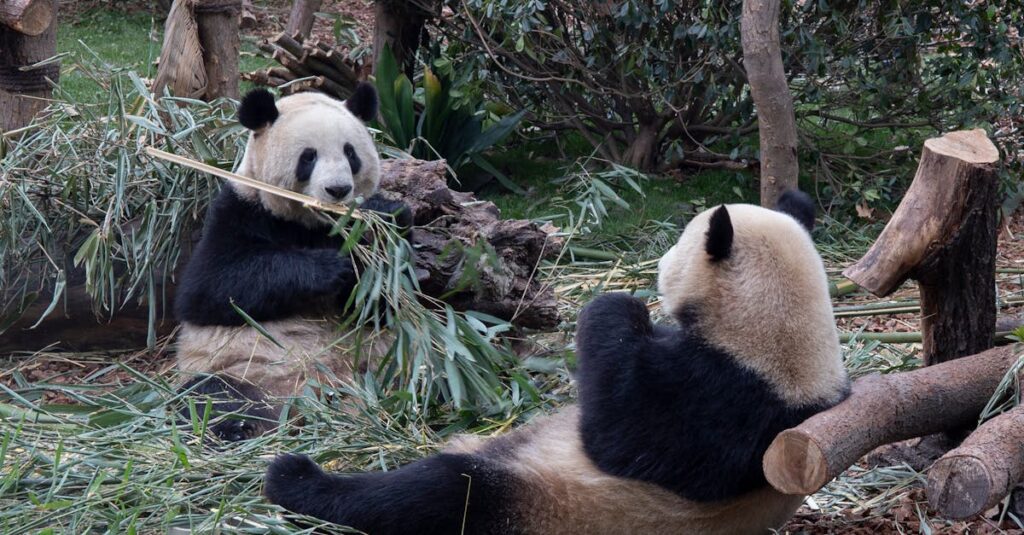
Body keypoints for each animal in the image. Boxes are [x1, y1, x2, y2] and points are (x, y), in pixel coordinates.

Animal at [174, 84, 411, 442]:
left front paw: (385, 219)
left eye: (350, 154)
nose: (338, 189)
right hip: (241, 370)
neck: (317, 224)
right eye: (308, 157)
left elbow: (381, 305)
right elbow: (210, 287)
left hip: (385, 367)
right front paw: (331, 268)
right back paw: (238, 429)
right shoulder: (241, 210)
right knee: (212, 397)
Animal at [261, 190, 850, 535]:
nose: (659, 262)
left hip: (538, 501)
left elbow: (622, 436)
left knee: (435, 497)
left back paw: (296, 480)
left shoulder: (721, 400)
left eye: (678, 247)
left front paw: (616, 304)